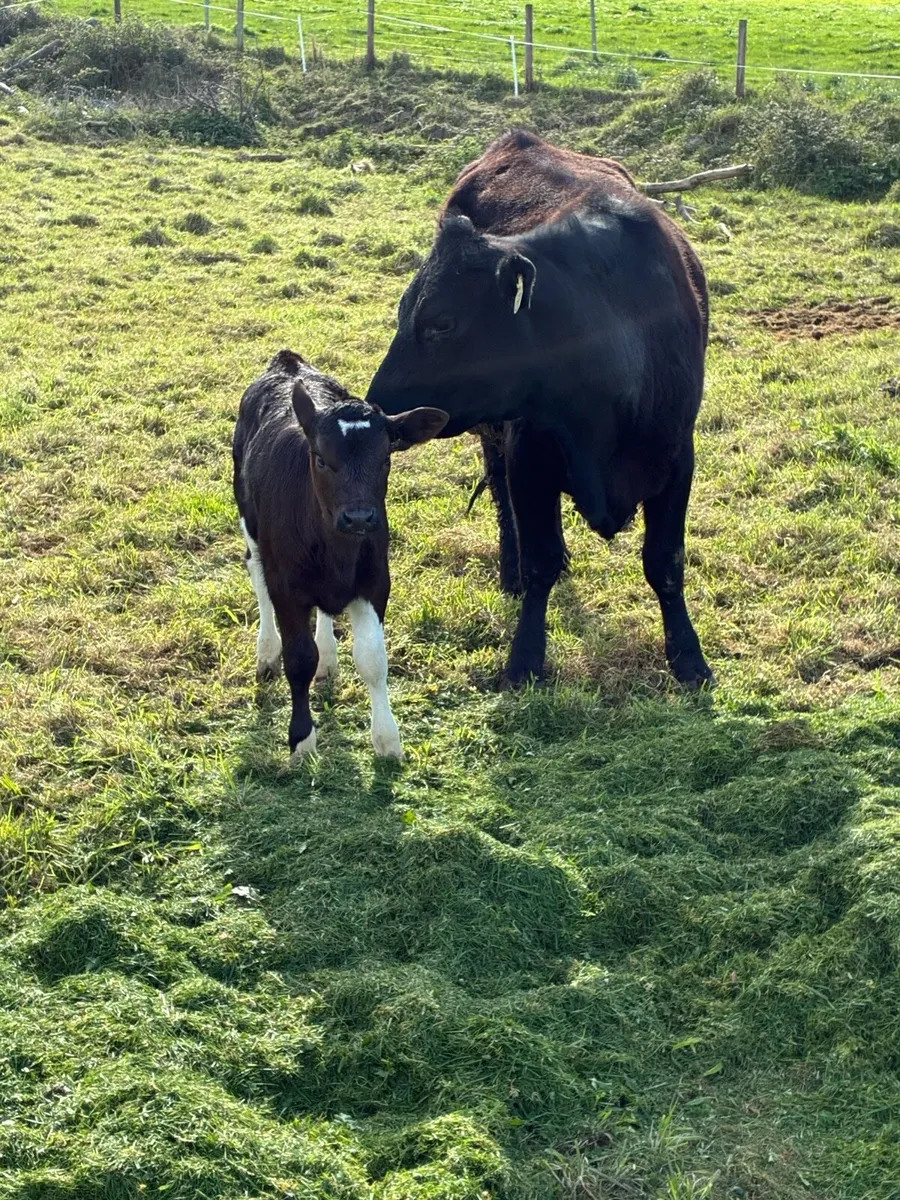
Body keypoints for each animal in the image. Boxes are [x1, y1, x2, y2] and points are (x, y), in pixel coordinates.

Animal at [232, 349, 447, 760]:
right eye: (320, 458)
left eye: (386, 459)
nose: (359, 517)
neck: (337, 551)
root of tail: (288, 362)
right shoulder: (287, 587)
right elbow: (299, 659)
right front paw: (301, 739)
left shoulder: (375, 582)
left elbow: (373, 660)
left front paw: (387, 740)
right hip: (248, 518)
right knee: (256, 574)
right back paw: (267, 653)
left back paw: (328, 656)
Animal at [366, 130, 714, 689]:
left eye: (441, 322)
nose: (378, 408)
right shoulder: (529, 456)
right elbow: (539, 563)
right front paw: (524, 657)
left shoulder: (677, 457)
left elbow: (665, 560)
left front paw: (688, 656)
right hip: (494, 435)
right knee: (501, 499)